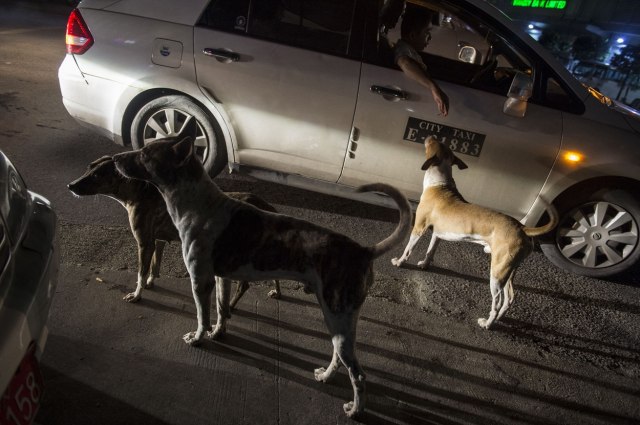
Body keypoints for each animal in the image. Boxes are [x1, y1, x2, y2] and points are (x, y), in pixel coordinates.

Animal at [390, 137, 556, 330]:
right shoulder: (438, 233)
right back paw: (500, 318)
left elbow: (408, 248)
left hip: (497, 273)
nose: (430, 136)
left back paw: (488, 323)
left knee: (497, 302)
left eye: (432, 143)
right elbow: (430, 250)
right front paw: (424, 264)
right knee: (509, 298)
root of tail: (522, 227)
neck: (439, 184)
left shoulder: (419, 228)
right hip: (509, 270)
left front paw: (399, 262)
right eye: (442, 144)